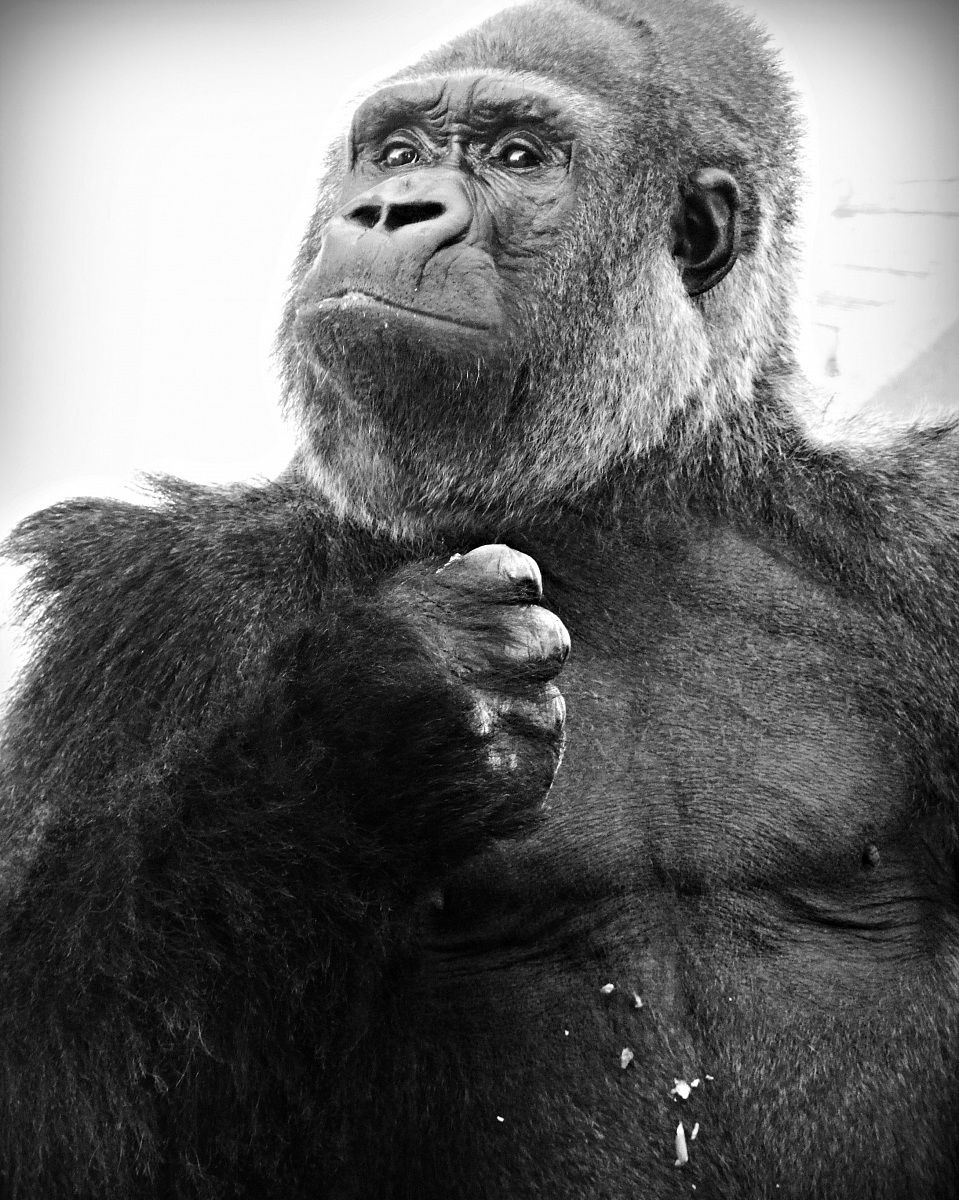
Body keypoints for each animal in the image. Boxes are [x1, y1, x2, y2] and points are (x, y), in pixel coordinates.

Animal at [1, 1, 957, 1197]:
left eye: (515, 157)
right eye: (395, 153)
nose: (388, 209)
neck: (616, 498)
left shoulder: (922, 540)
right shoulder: (154, 609)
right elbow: (62, 1095)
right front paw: (374, 729)